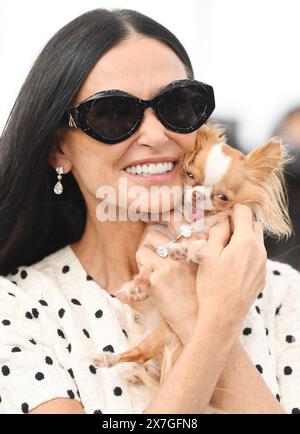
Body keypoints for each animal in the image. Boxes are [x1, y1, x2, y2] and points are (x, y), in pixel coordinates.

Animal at [92, 124, 292, 392]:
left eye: (222, 197)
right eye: (189, 175)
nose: (198, 194)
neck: (190, 225)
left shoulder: (217, 240)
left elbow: (199, 246)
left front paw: (183, 250)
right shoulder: (156, 240)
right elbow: (146, 271)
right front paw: (137, 287)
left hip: (163, 335)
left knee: (140, 355)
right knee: (138, 355)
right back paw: (116, 363)